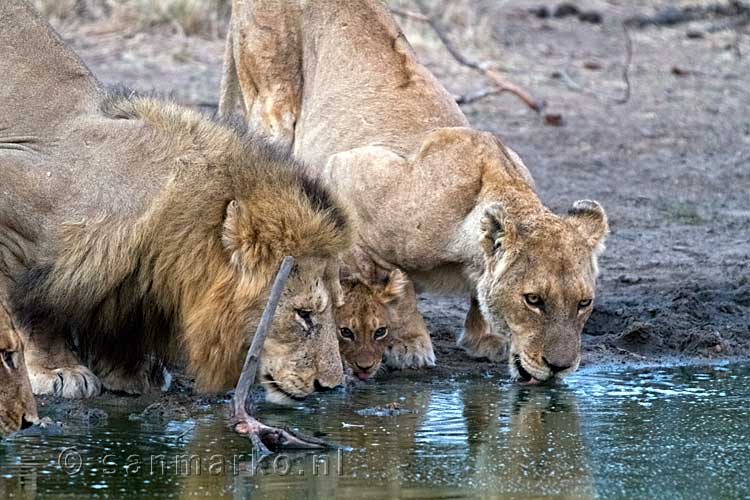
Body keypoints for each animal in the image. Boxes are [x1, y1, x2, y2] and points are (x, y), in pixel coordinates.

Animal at [0, 0, 352, 402]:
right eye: (303, 314)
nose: (330, 386)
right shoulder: (14, 203)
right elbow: (31, 313)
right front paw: (57, 369)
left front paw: (132, 372)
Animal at [219, 0, 612, 384]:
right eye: (533, 299)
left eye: (584, 303)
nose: (560, 367)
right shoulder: (348, 170)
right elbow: (401, 285)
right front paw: (409, 345)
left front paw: (484, 337)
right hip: (273, 102)